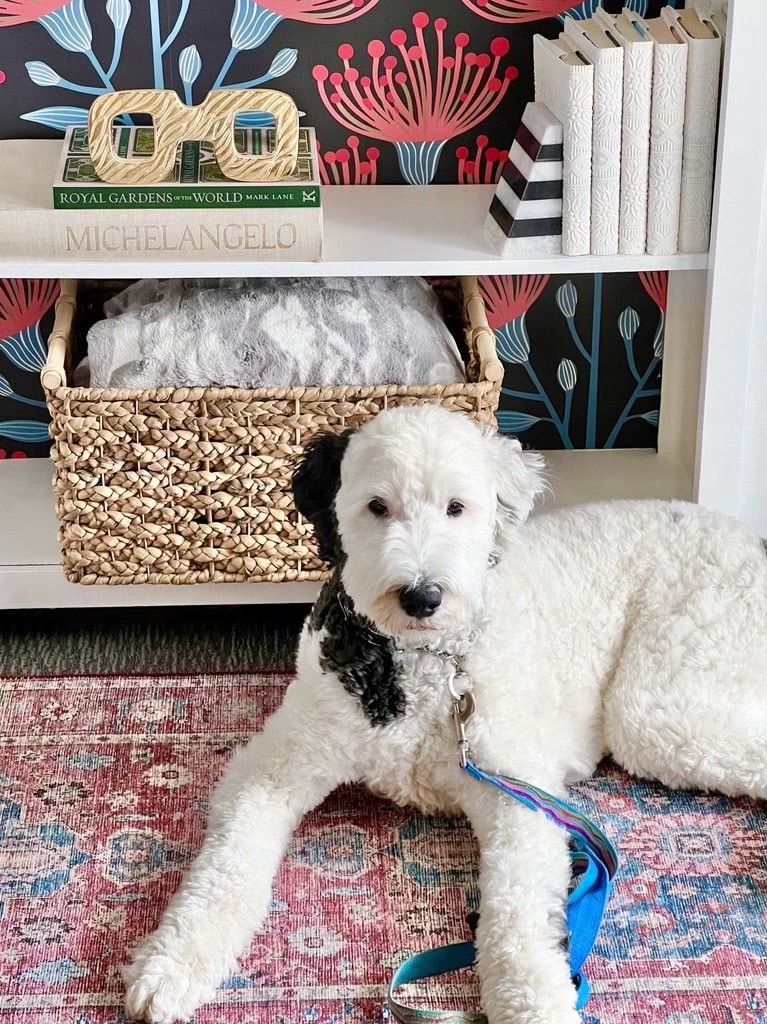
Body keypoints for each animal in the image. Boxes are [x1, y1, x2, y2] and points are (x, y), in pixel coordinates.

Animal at [124, 403, 765, 1024]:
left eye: (457, 507)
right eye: (377, 506)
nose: (422, 595)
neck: (424, 662)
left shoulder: (519, 797)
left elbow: (517, 923)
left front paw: (533, 1002)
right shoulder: (272, 768)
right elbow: (224, 870)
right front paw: (170, 965)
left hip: (663, 702)